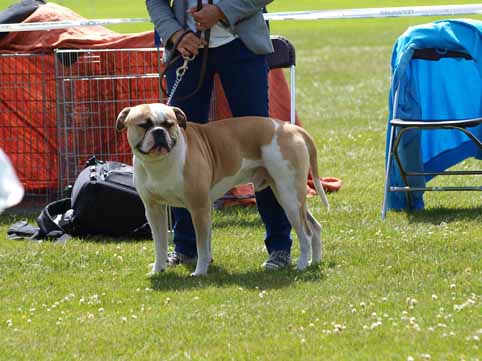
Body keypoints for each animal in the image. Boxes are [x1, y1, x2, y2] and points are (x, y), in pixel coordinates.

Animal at [116, 102, 330, 274]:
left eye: (169, 124)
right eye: (144, 125)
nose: (159, 132)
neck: (159, 163)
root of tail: (292, 128)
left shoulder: (199, 208)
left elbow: (202, 245)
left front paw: (200, 272)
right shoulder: (154, 210)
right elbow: (160, 245)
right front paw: (158, 269)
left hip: (289, 197)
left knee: (306, 233)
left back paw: (301, 265)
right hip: (290, 195)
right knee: (315, 227)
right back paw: (314, 262)